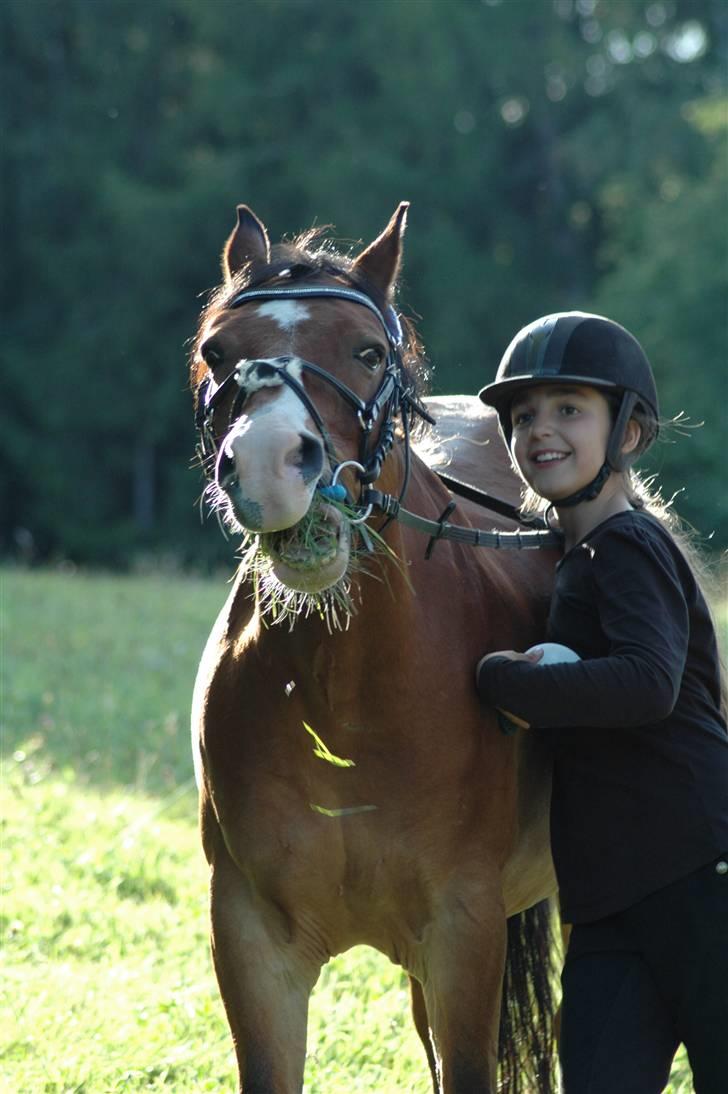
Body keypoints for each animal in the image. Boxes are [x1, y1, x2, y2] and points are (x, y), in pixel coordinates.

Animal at [187, 205, 556, 1094]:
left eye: (368, 352)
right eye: (218, 351)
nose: (268, 464)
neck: (347, 695)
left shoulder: (464, 931)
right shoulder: (252, 941)